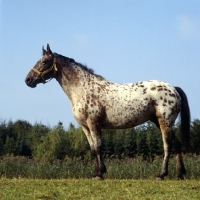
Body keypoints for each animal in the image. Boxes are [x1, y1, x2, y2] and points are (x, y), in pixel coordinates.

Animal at [25, 43, 191, 180]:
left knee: (167, 145)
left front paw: (100, 174)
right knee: (176, 144)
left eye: (44, 62)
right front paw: (96, 173)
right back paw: (180, 174)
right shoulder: (85, 126)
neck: (83, 88)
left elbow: (99, 146)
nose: (28, 80)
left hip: (164, 122)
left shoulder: (94, 123)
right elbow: (93, 149)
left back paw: (161, 174)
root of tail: (173, 88)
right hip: (159, 121)